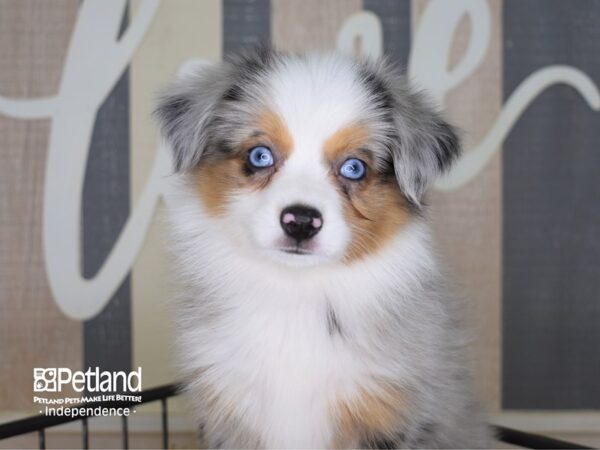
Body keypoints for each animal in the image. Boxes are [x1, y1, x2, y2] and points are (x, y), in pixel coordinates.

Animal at [157, 46, 490, 450]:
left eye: (353, 167)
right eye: (260, 156)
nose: (301, 221)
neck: (295, 290)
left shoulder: (389, 412)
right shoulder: (228, 405)